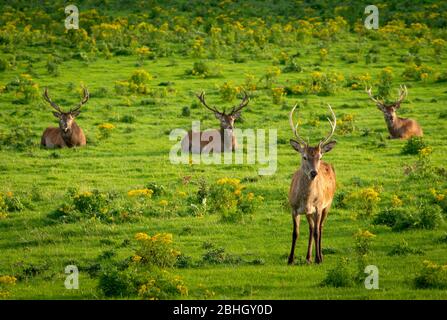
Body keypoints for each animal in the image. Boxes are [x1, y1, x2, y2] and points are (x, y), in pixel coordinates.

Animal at [288, 104, 338, 264]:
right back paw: (308, 257)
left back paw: (319, 256)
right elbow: (295, 233)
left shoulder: (318, 207)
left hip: (328, 204)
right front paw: (290, 259)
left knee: (320, 228)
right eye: (304, 157)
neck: (306, 199)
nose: (314, 173)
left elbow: (316, 232)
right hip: (309, 212)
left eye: (319, 156)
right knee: (311, 228)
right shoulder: (293, 208)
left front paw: (318, 258)